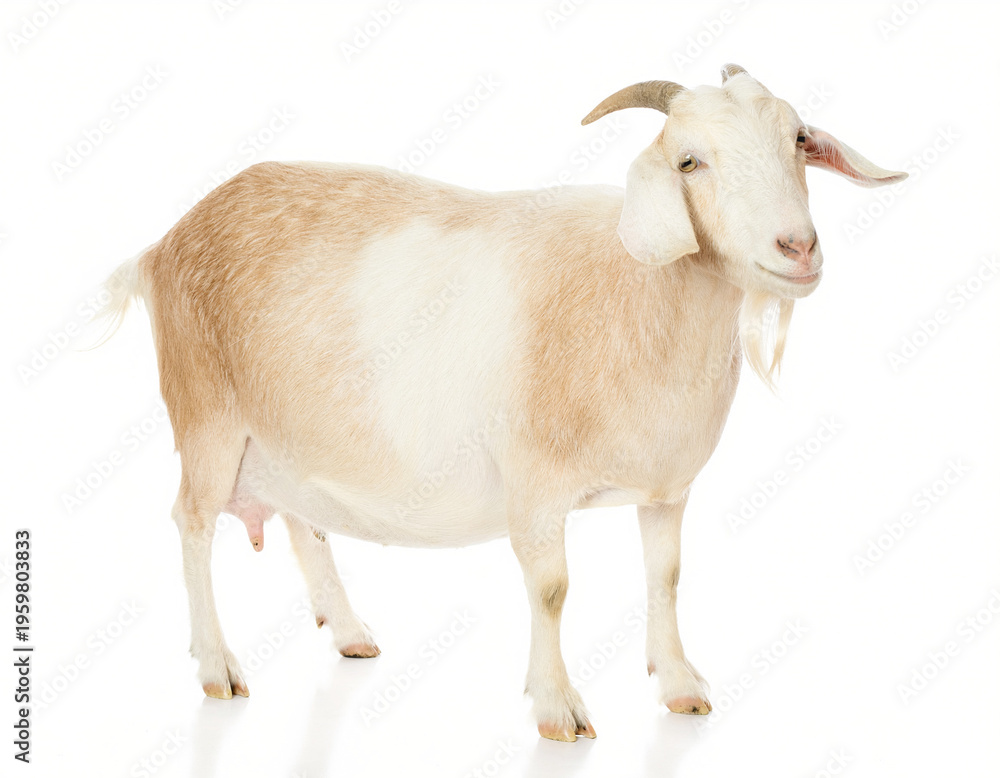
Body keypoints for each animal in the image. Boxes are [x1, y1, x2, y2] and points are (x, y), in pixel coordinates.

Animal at [101, 64, 905, 741]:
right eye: (688, 161)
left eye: (797, 140)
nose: (798, 248)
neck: (633, 286)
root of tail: (163, 244)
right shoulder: (535, 482)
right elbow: (551, 587)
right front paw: (558, 709)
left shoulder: (666, 487)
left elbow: (667, 577)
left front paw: (680, 687)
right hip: (206, 415)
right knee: (192, 522)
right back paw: (217, 666)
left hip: (287, 434)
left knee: (306, 520)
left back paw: (350, 632)